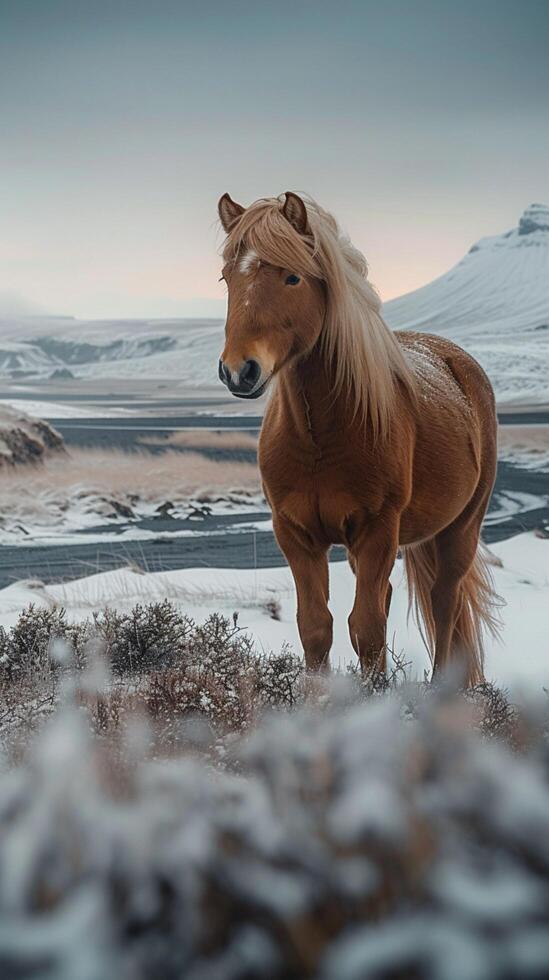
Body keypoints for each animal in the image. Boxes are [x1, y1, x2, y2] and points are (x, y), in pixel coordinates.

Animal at [216, 189, 498, 680]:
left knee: (445, 602)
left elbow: (366, 629)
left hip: (461, 527)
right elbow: (316, 627)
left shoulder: (376, 532)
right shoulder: (295, 535)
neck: (318, 439)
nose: (238, 370)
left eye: (292, 277)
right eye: (227, 277)